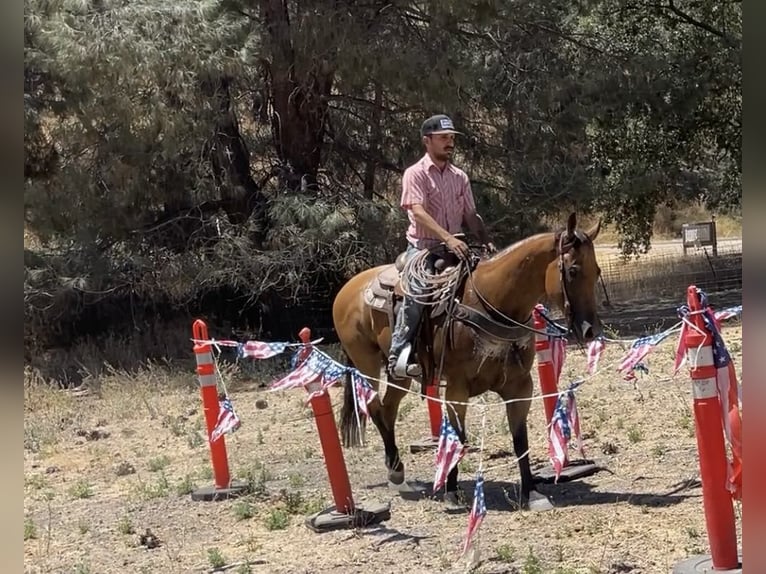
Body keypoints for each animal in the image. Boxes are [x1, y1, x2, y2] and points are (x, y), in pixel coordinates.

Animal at [332, 214, 604, 510]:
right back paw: (395, 470)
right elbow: (458, 439)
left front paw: (531, 492)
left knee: (388, 408)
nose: (590, 330)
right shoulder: (456, 389)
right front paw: (452, 492)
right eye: (573, 270)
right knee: (374, 407)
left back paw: (397, 472)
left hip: (398, 374)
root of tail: (347, 287)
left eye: (597, 271)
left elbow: (520, 439)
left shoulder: (520, 386)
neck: (490, 302)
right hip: (366, 363)